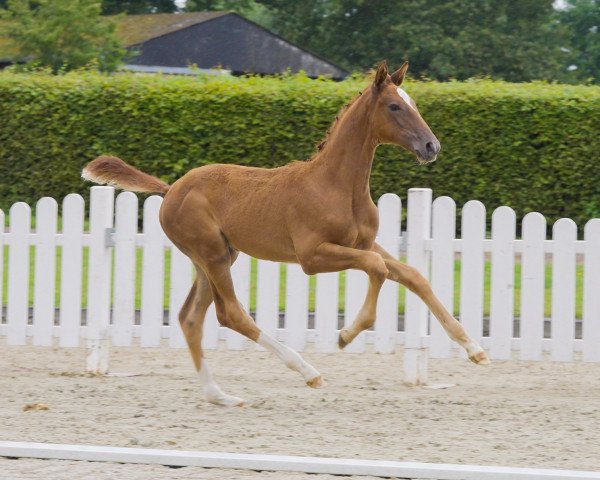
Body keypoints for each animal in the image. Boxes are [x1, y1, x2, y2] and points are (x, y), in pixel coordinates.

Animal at [83, 61, 488, 404]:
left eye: (412, 102)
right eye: (393, 107)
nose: (431, 146)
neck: (338, 185)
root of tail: (170, 190)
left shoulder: (364, 242)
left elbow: (411, 275)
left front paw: (474, 349)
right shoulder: (313, 256)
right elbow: (378, 268)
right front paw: (345, 335)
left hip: (215, 257)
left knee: (190, 318)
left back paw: (219, 395)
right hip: (212, 255)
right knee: (230, 313)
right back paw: (308, 371)